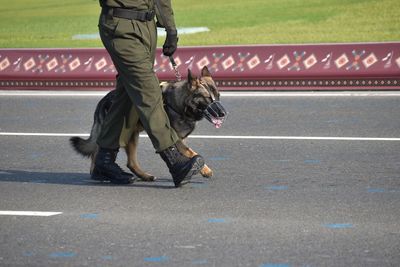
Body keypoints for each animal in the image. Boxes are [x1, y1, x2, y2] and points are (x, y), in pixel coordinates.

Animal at [69, 66, 225, 182]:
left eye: (218, 96)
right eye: (208, 98)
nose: (224, 113)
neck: (179, 103)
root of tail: (103, 101)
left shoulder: (181, 140)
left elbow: (189, 152)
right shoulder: (177, 140)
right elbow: (193, 152)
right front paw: (205, 170)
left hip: (132, 136)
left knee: (129, 162)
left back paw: (142, 176)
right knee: (100, 152)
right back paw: (100, 173)